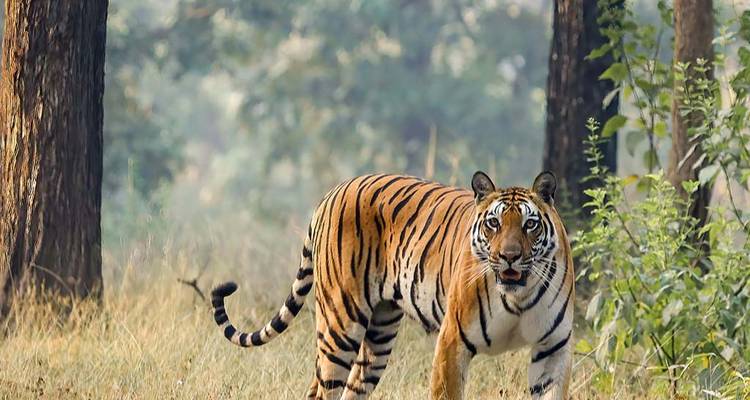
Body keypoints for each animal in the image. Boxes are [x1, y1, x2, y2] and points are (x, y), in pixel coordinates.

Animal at [211, 171, 574, 400]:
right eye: (493, 224)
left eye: (529, 225)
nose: (509, 257)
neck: (518, 296)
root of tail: (333, 191)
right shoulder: (452, 342)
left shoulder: (553, 348)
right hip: (339, 325)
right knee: (322, 390)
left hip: (380, 333)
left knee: (349, 389)